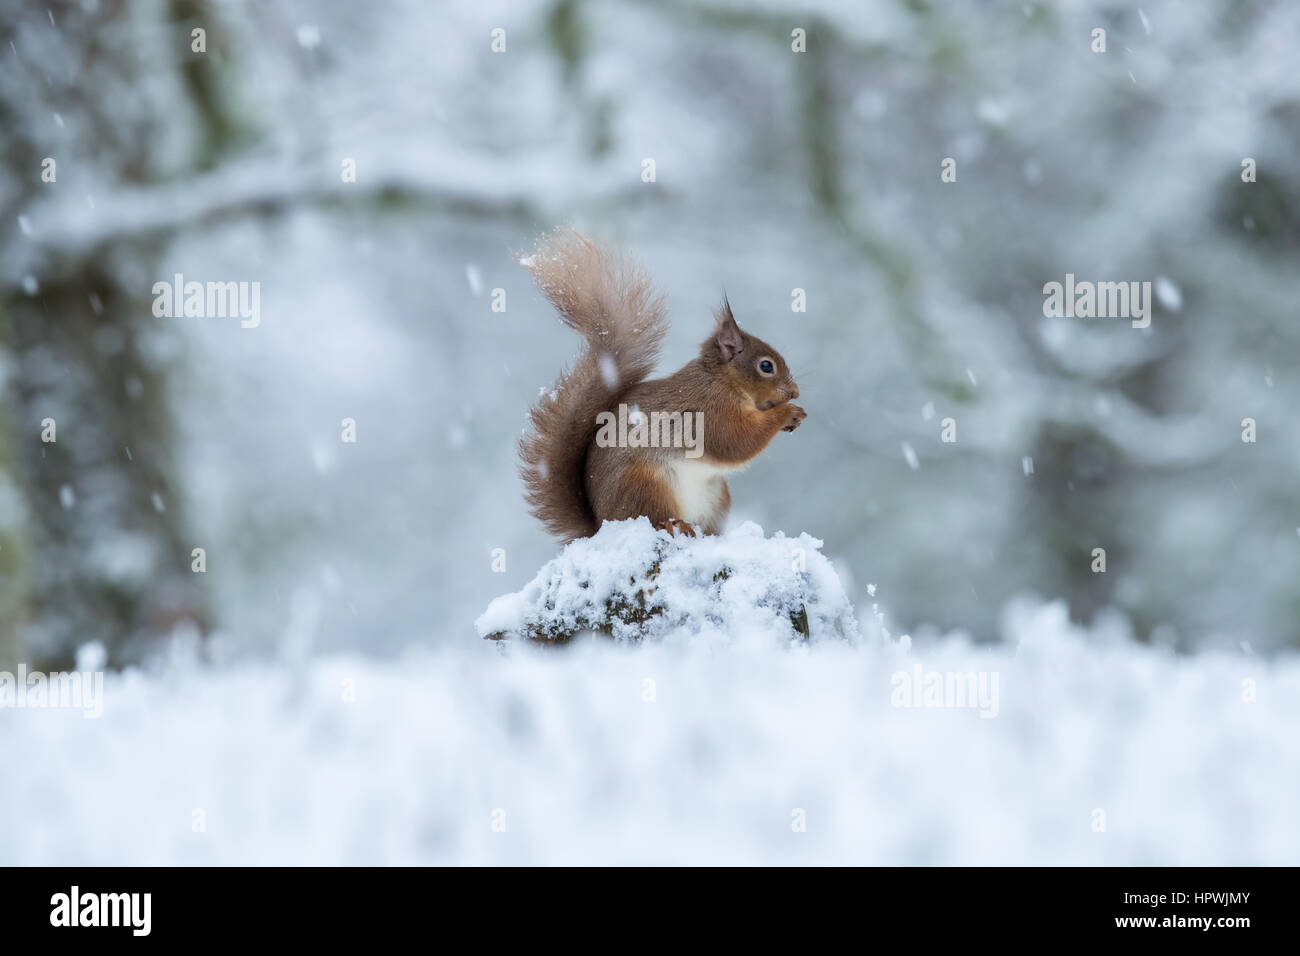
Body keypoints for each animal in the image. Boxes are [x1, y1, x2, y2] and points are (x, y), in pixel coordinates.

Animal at [517, 231, 800, 541]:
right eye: (766, 366)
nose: (795, 392)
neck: (722, 381)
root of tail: (602, 524)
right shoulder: (710, 411)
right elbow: (736, 442)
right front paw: (788, 413)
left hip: (717, 497)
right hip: (645, 486)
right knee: (654, 517)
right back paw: (675, 525)